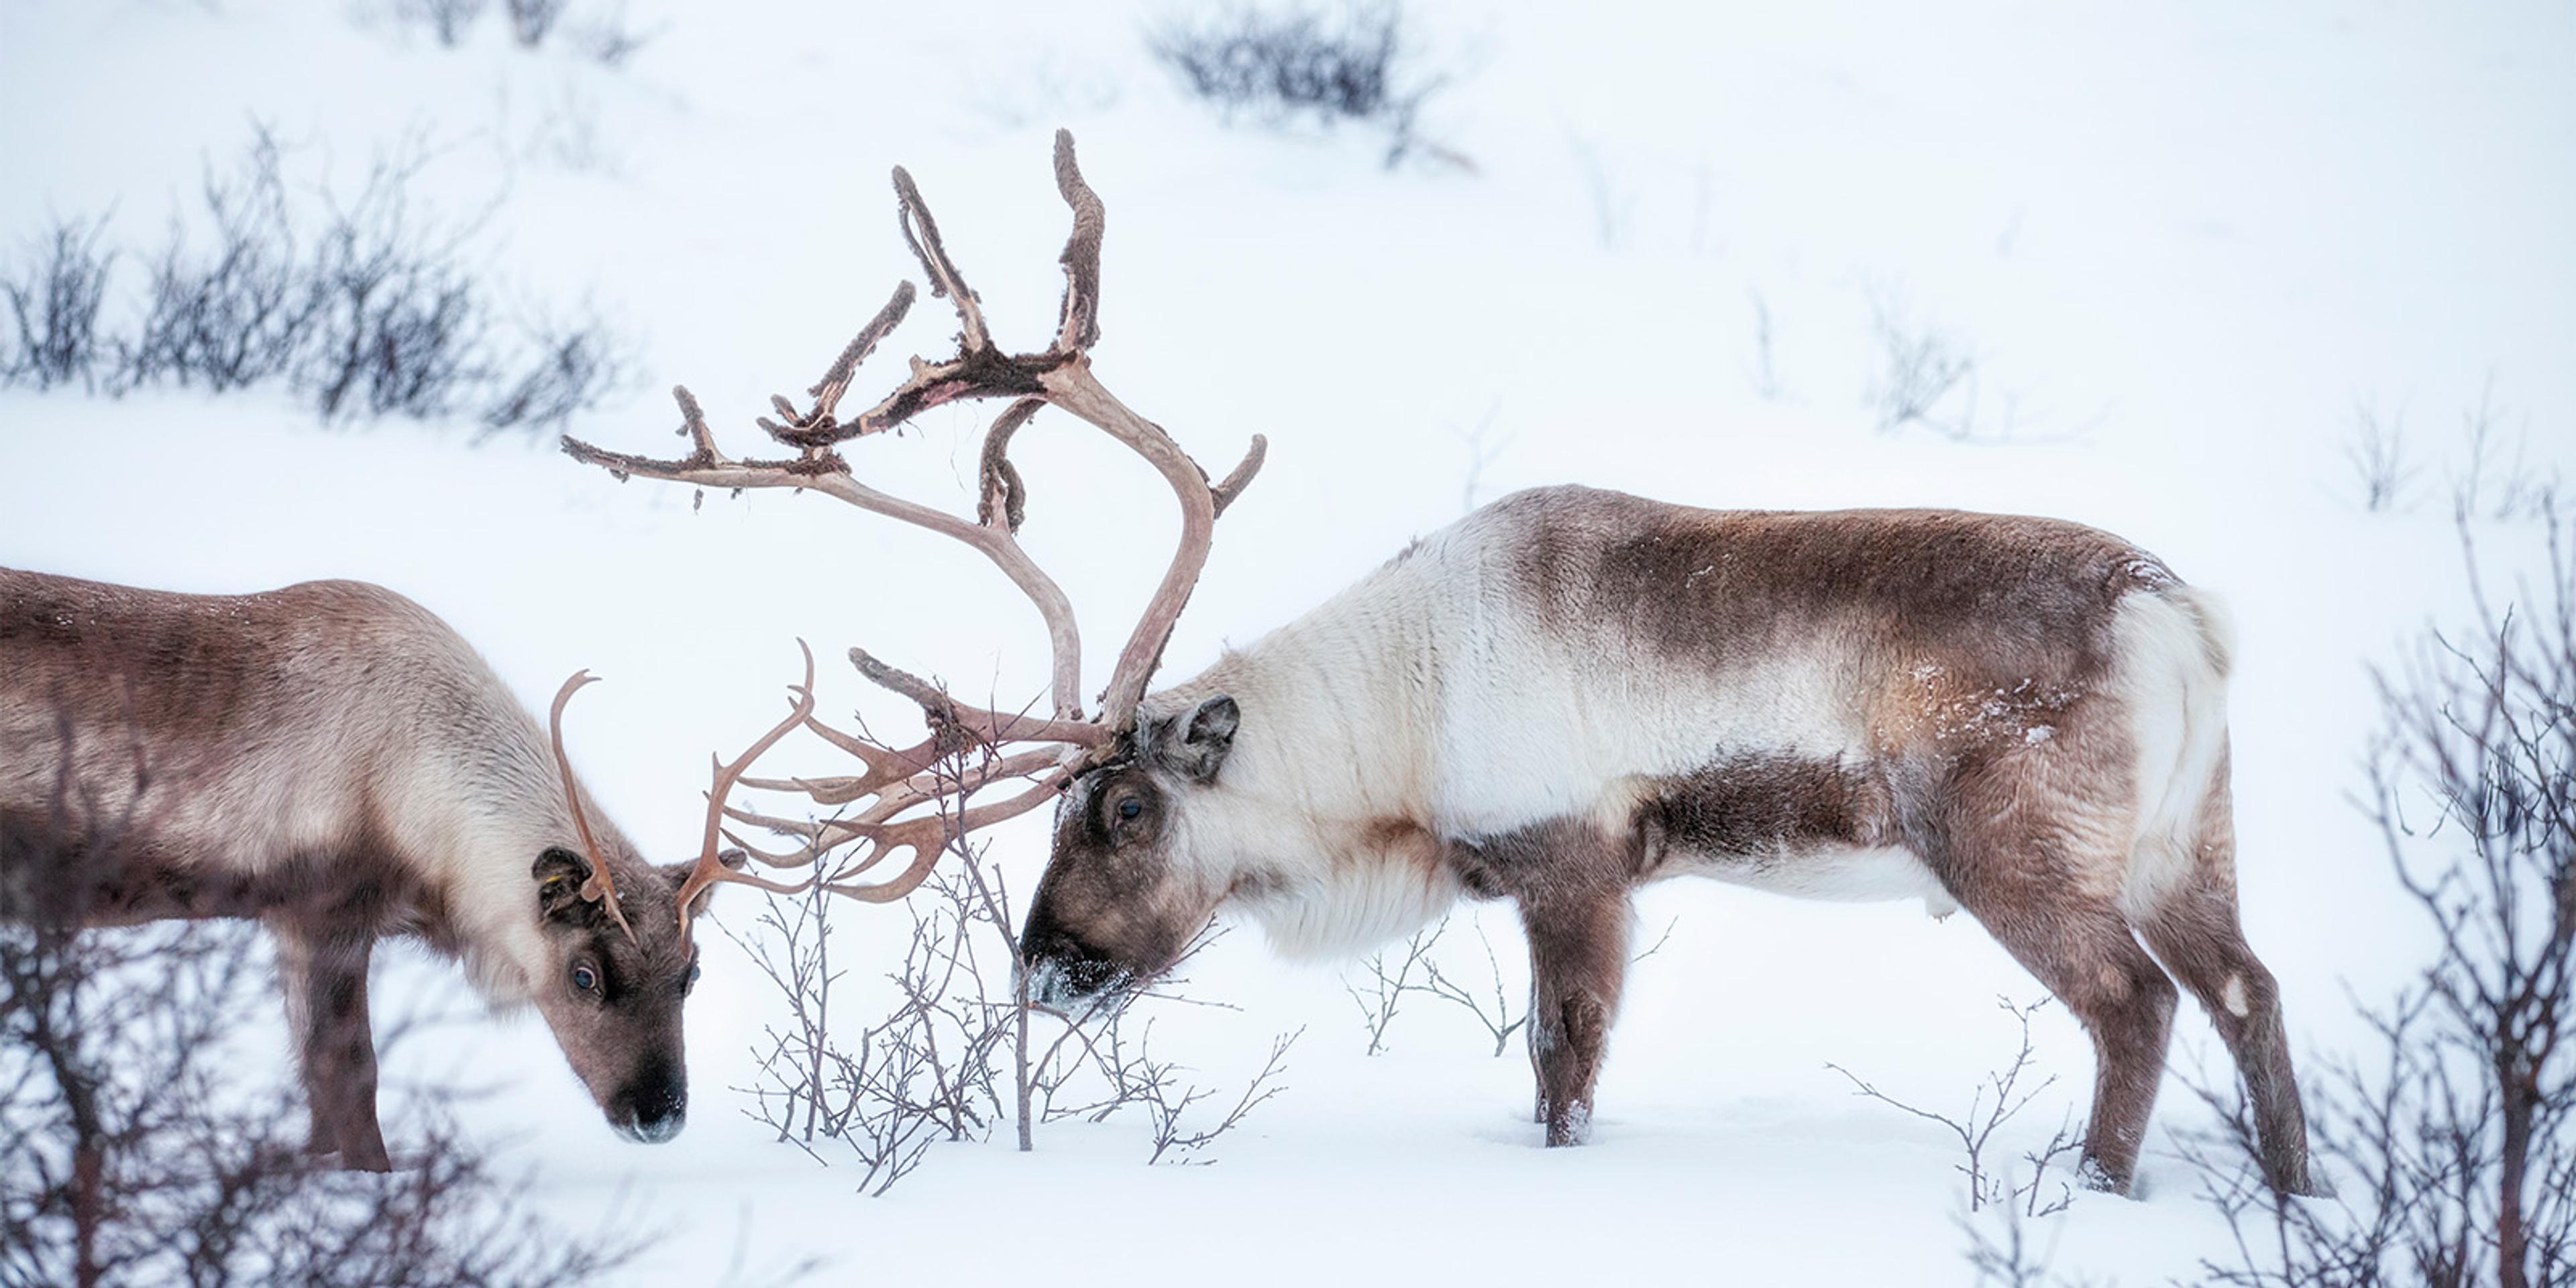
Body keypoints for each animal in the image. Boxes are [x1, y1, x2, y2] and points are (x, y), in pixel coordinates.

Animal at [0, 569, 741, 1171]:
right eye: (585, 974)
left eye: (692, 973)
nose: (659, 1116)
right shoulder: (323, 910)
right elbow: (348, 1077)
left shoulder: (292, 922)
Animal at [563, 130, 2317, 1198]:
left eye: (1122, 812)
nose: (1043, 969)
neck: (1396, 723)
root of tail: (2180, 616)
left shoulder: (1572, 863)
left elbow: (1563, 1070)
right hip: (2190, 840)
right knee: (2246, 986)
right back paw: (2293, 1194)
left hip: (2010, 847)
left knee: (2135, 1008)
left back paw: (2091, 1191)